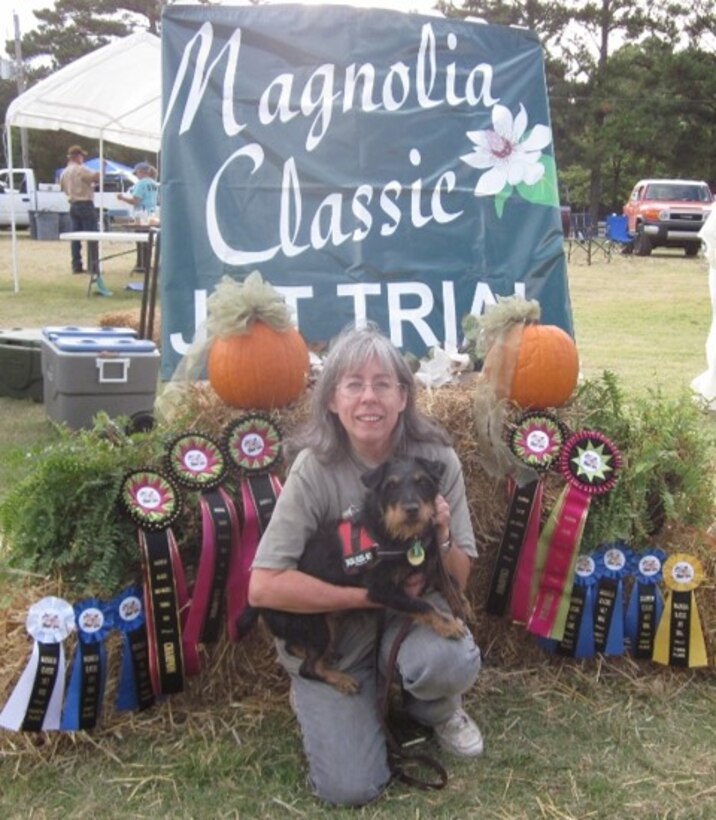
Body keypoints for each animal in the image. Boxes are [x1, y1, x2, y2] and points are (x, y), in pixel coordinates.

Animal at [241, 458, 470, 696]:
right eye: (391, 485)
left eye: (423, 482)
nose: (412, 510)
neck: (396, 535)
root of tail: (255, 604)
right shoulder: (381, 590)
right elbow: (422, 605)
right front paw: (448, 625)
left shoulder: (424, 564)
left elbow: (448, 577)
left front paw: (461, 602)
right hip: (316, 625)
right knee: (308, 667)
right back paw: (341, 679)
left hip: (326, 623)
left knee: (293, 647)